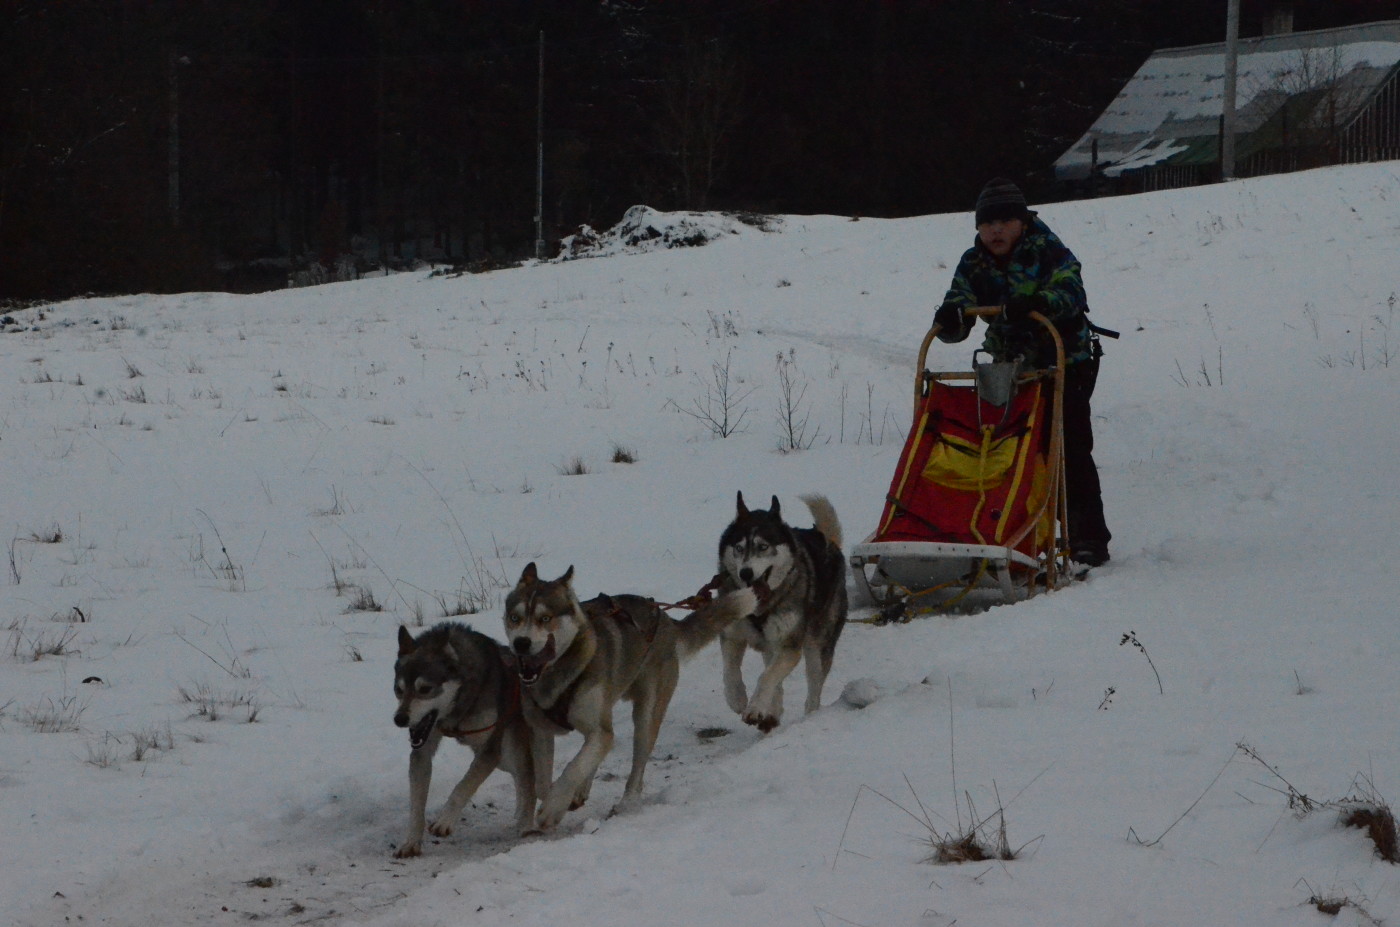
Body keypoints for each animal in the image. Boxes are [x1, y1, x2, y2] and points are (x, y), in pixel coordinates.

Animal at [392, 622, 535, 857]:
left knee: (527, 780)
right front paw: (411, 841)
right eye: (399, 690)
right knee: (520, 779)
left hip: (511, 750)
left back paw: (526, 825)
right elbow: (416, 806)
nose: (399, 719)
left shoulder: (490, 751)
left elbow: (463, 786)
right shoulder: (422, 752)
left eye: (425, 689)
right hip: (505, 759)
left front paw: (444, 821)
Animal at [504, 563, 761, 830]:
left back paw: (626, 801)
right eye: (515, 617)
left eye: (545, 618)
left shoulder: (598, 729)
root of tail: (665, 619)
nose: (521, 643)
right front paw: (554, 799)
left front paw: (554, 807)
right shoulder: (540, 729)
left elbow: (574, 767)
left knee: (636, 765)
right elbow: (544, 779)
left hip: (646, 715)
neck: (558, 676)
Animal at [717, 492, 848, 732]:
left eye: (763, 547)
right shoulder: (732, 635)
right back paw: (772, 713)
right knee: (774, 677)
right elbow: (730, 671)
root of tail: (829, 542)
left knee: (812, 688)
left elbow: (766, 678)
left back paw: (807, 716)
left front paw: (754, 707)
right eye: (739, 548)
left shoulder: (789, 646)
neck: (761, 605)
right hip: (771, 646)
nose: (745, 572)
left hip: (817, 646)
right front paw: (737, 698)